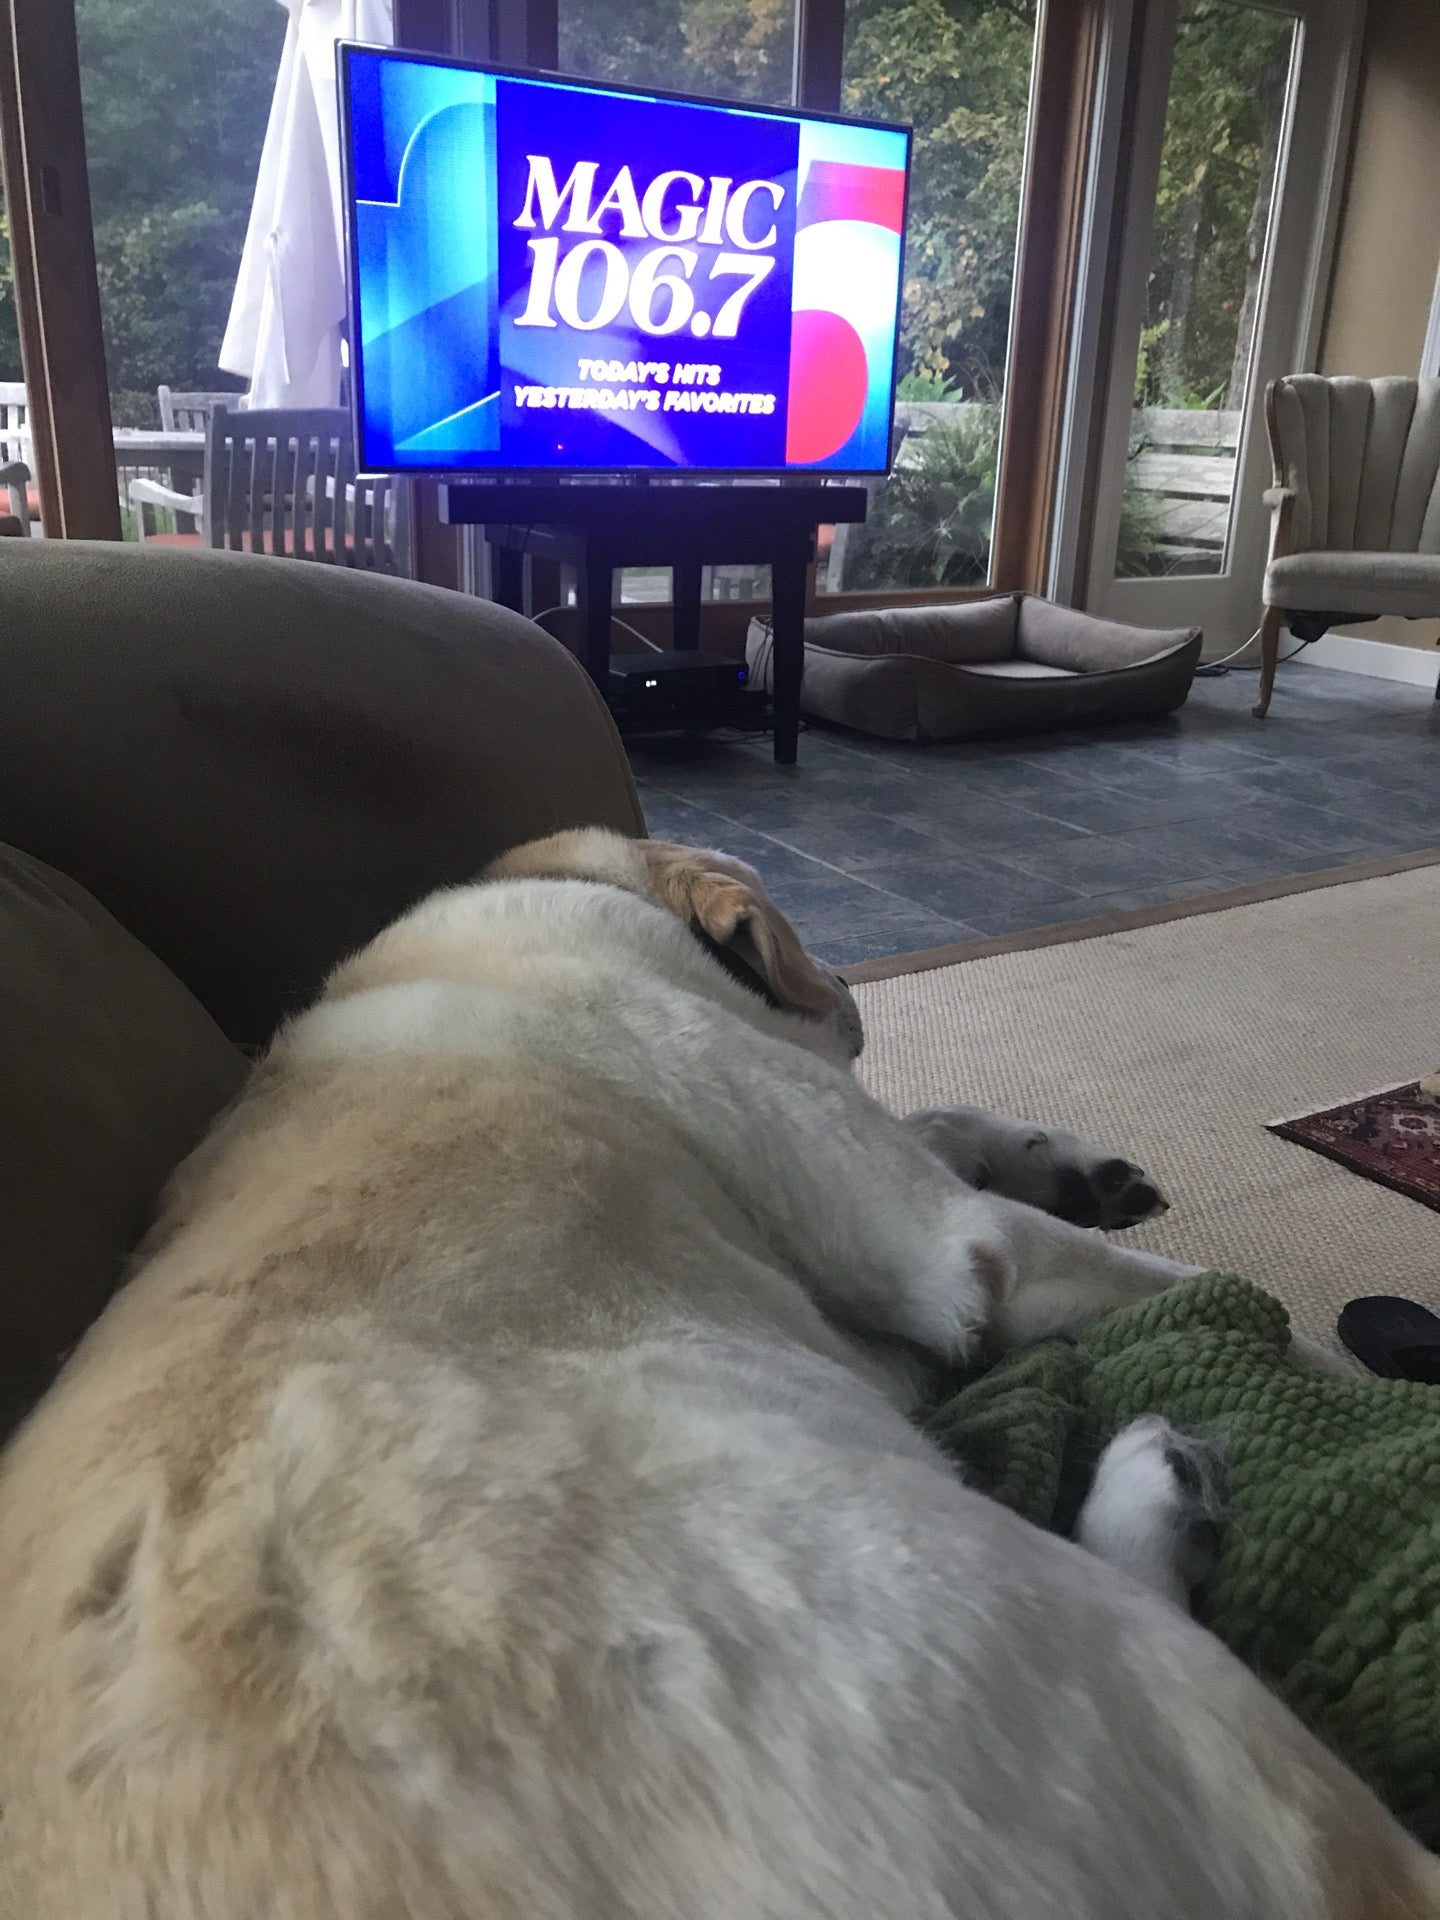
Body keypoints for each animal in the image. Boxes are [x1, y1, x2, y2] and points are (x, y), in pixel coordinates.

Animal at [0, 833, 1436, 1920]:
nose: (850, 982)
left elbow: (940, 1121)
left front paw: (1056, 1154)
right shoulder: (957, 1247)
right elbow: (1163, 1283)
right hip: (1038, 1639)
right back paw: (1159, 1488)